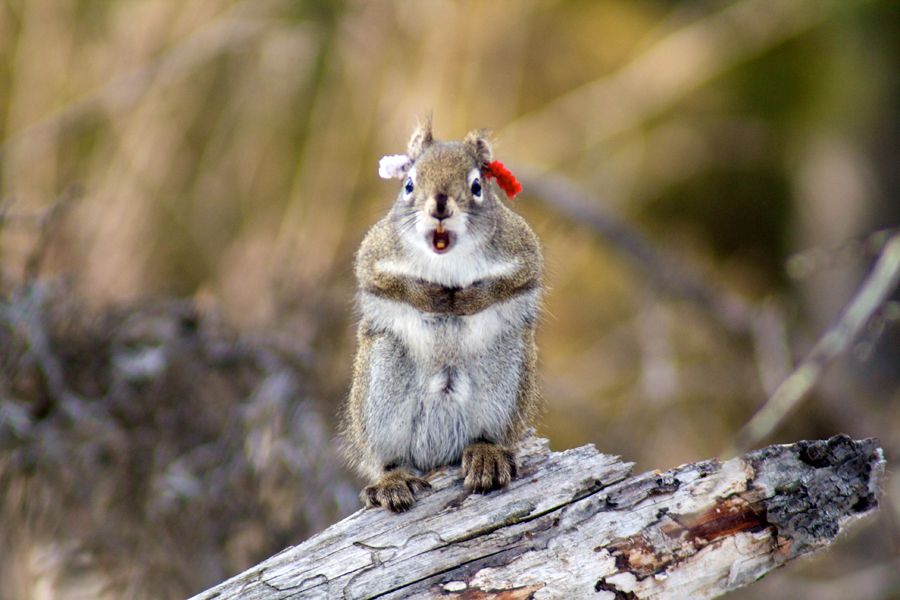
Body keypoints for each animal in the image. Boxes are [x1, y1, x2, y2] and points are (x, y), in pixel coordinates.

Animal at [342, 120, 540, 510]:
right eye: (408, 185)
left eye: (477, 186)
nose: (440, 205)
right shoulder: (375, 255)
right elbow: (384, 281)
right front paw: (431, 297)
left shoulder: (523, 253)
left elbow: (508, 283)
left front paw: (468, 300)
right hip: (381, 386)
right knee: (386, 457)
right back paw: (392, 479)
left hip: (504, 379)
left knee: (487, 434)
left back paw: (486, 455)